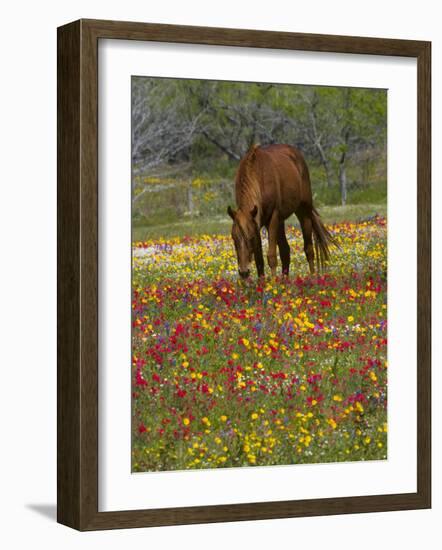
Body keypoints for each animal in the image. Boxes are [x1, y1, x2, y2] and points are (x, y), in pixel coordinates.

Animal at [228, 144, 334, 280]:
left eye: (250, 238)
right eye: (234, 238)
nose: (244, 272)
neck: (258, 175)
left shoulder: (272, 218)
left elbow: (271, 256)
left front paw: (273, 283)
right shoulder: (256, 222)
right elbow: (259, 260)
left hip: (303, 212)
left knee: (309, 249)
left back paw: (312, 277)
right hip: (281, 221)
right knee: (285, 251)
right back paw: (285, 280)